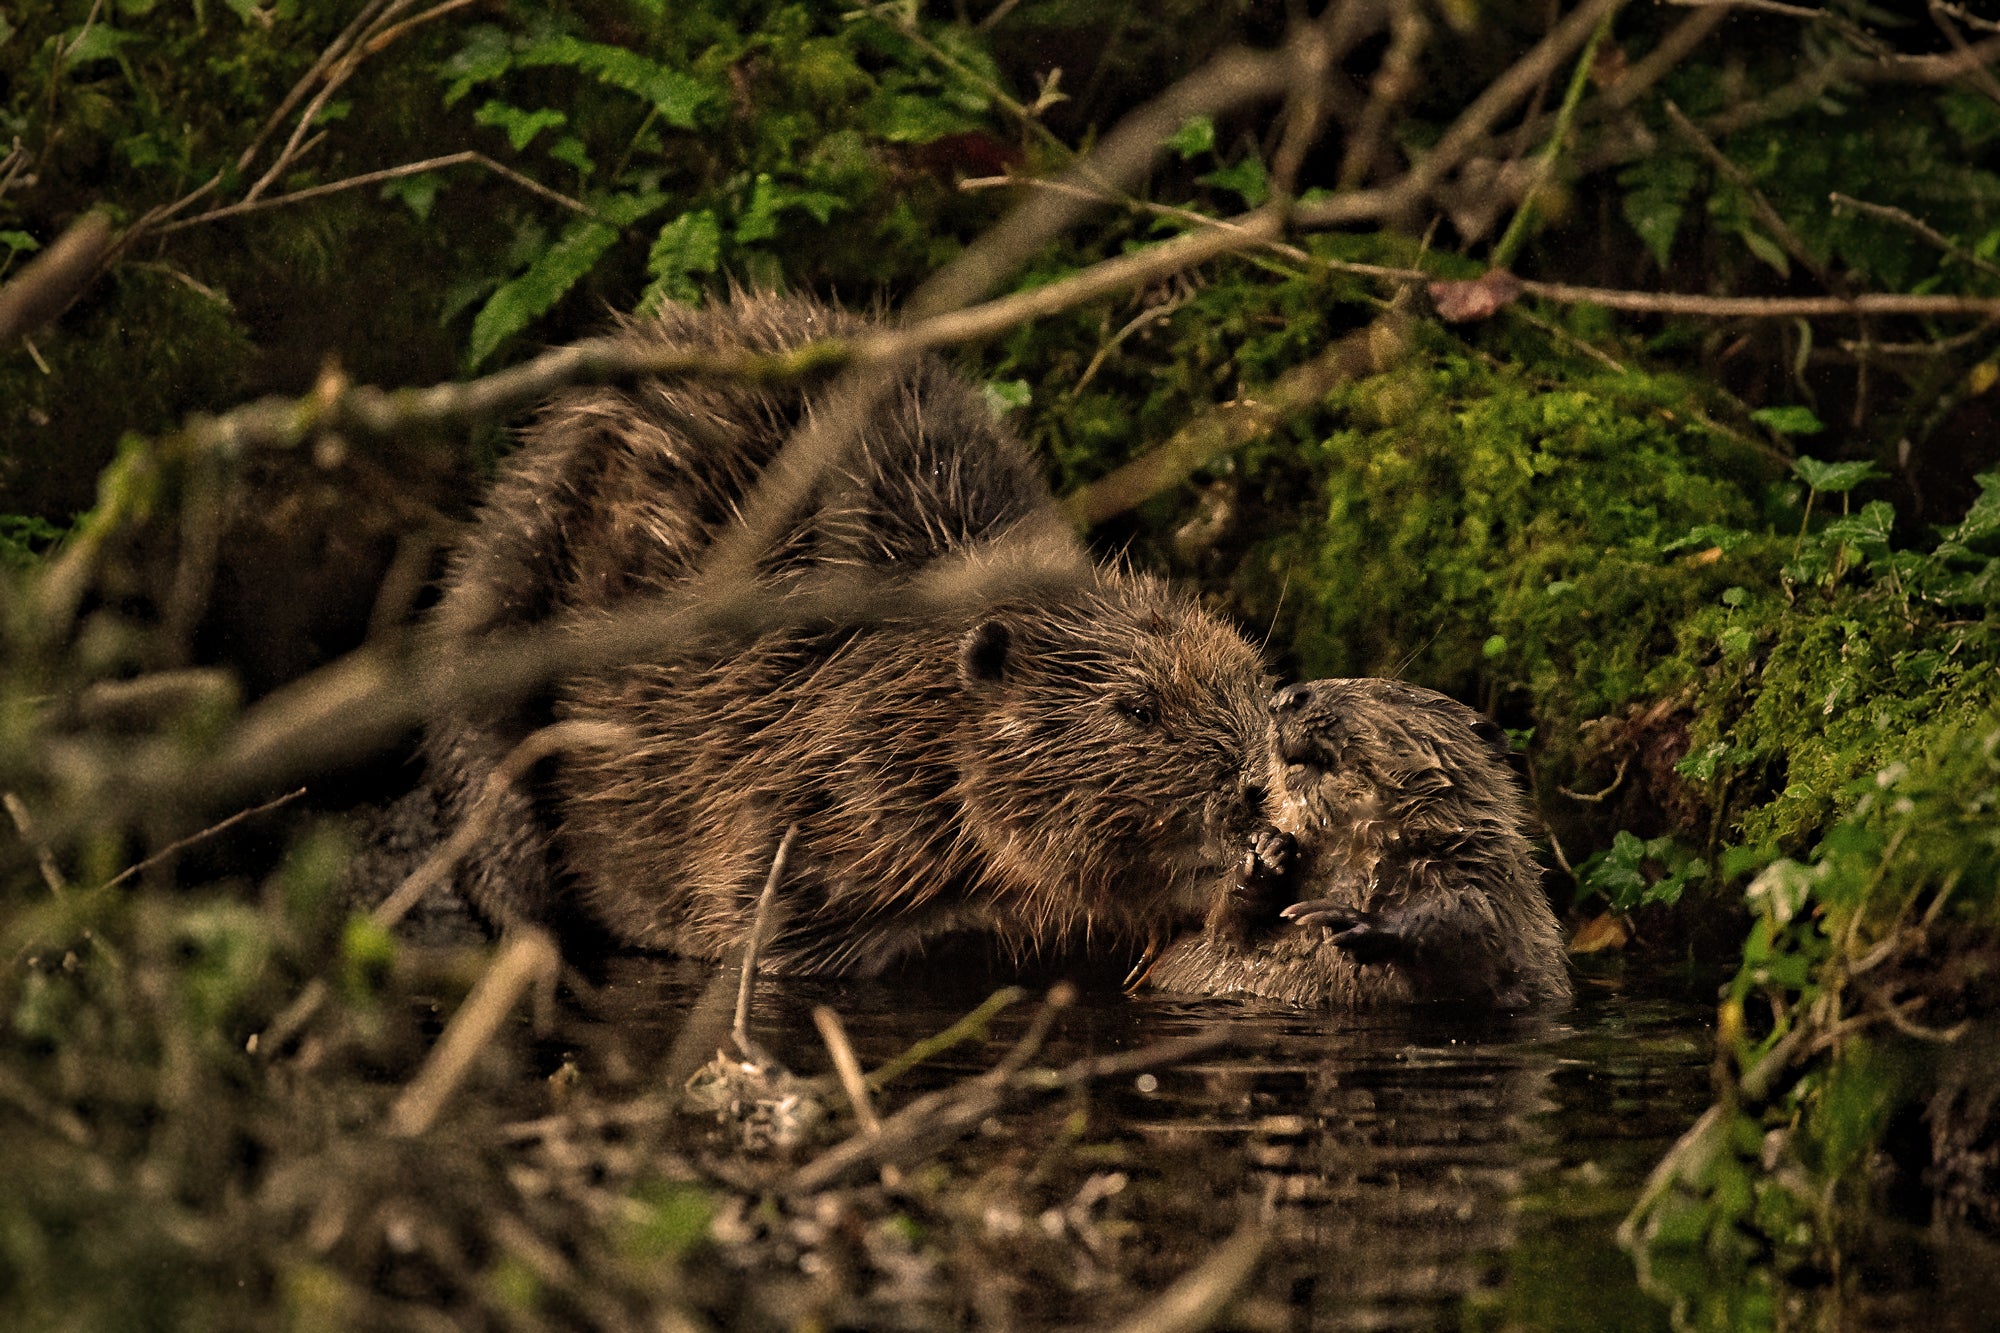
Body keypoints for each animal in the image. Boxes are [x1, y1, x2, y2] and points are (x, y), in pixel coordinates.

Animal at [422, 294, 1264, 964]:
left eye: (1253, 682)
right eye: (1136, 709)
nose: (1250, 791)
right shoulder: (807, 788)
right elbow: (779, 928)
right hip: (509, 565)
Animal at [1152, 680, 1568, 1000]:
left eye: (1388, 693)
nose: (1284, 698)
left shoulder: (1491, 870)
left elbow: (1479, 926)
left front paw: (1340, 918)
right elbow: (1217, 929)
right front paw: (1267, 850)